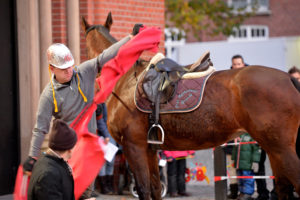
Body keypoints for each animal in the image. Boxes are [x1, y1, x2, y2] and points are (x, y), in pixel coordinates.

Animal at [80, 13, 300, 199]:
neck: (126, 79)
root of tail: (289, 79)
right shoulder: (150, 149)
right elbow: (155, 188)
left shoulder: (134, 146)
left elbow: (143, 189)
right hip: (274, 151)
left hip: (281, 149)